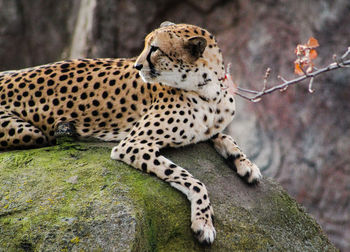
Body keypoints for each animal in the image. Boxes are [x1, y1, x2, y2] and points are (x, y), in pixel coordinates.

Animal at [0, 22, 262, 244]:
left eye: (155, 49)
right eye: (146, 45)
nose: (137, 66)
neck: (209, 88)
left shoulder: (206, 127)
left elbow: (225, 136)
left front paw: (246, 164)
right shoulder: (134, 143)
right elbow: (194, 180)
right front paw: (203, 222)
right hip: (31, 131)